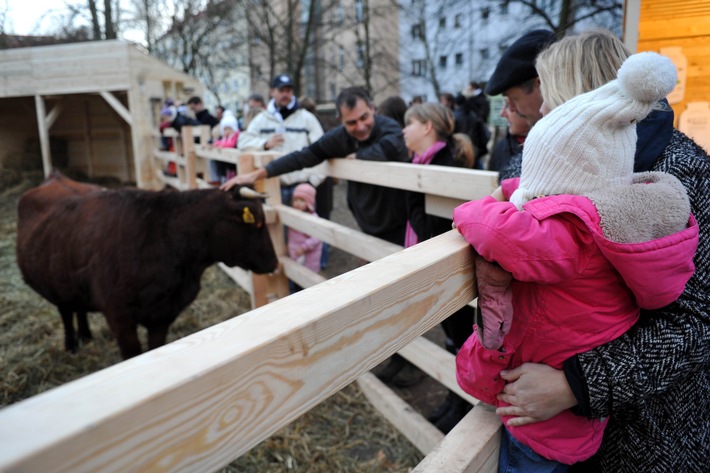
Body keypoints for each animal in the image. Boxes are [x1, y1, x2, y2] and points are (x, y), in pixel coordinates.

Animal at [16, 170, 278, 358]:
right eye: (256, 223)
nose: (274, 263)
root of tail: (55, 176)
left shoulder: (162, 316)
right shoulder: (119, 317)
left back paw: (86, 335)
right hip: (54, 282)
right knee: (65, 311)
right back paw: (71, 344)